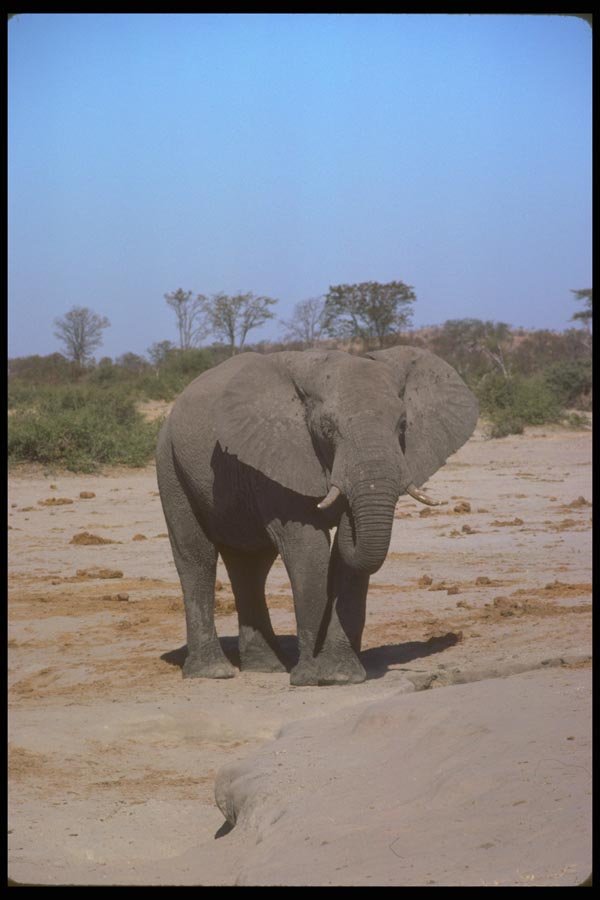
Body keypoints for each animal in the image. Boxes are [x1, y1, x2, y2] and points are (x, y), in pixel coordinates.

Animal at [155, 345, 479, 686]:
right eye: (327, 429)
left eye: (403, 424)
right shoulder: (282, 456)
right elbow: (309, 552)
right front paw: (311, 677)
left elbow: (347, 565)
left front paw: (340, 675)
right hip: (170, 464)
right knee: (196, 557)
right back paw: (213, 672)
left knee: (250, 565)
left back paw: (266, 667)